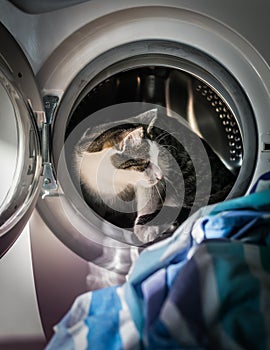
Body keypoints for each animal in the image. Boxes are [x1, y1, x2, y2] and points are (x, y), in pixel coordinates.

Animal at [74, 108, 236, 245]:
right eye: (146, 163)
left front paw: (145, 228)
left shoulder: (149, 185)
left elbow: (148, 200)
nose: (161, 176)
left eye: (159, 157)